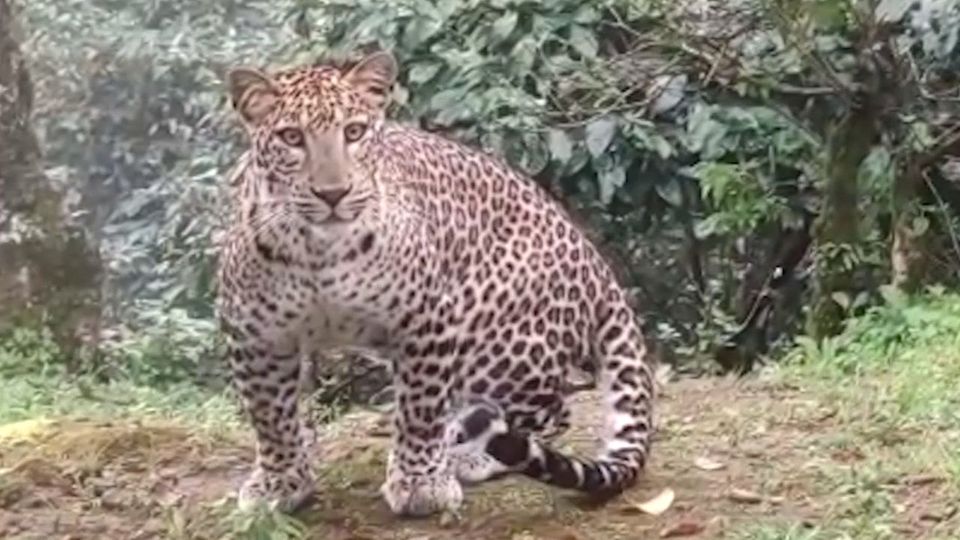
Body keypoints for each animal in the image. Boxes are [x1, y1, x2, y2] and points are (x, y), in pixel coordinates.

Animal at [215, 48, 656, 516]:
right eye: (291, 137)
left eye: (353, 132)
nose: (333, 193)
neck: (319, 251)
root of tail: (597, 266)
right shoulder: (256, 334)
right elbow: (270, 416)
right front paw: (279, 482)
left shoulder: (427, 320)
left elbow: (421, 409)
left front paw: (420, 483)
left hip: (497, 348)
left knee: (548, 416)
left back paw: (465, 455)